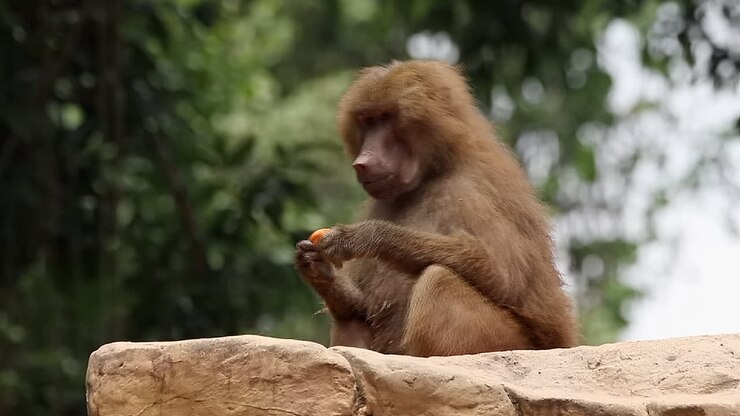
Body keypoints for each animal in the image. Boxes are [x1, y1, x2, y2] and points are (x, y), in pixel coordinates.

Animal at [295, 60, 579, 357]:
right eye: (367, 120)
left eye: (386, 117)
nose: (363, 162)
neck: (435, 170)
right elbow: (360, 306)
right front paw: (319, 269)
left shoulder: (470, 187)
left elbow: (502, 276)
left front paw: (366, 237)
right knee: (349, 318)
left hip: (509, 342)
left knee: (438, 280)